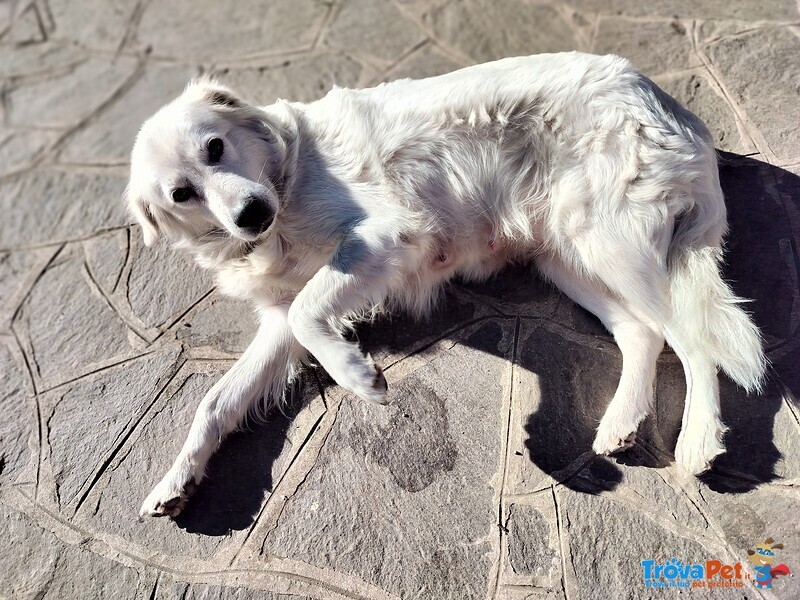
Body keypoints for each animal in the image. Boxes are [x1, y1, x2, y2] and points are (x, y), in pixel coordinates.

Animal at [128, 54, 764, 516]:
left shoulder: (385, 233)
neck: (284, 179)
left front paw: (360, 377)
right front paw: (176, 481)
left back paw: (698, 441)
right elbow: (216, 401)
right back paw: (621, 423)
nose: (251, 213)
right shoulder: (280, 317)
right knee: (644, 333)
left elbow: (313, 312)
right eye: (181, 193)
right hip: (569, 256)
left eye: (215, 146)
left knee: (694, 342)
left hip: (610, 241)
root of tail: (671, 106)